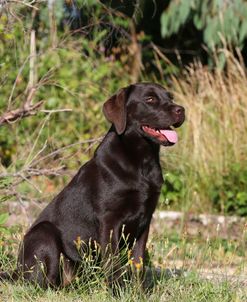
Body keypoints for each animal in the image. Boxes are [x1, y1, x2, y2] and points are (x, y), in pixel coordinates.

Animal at [0, 82, 185, 288]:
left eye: (170, 97)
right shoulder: (109, 220)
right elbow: (113, 262)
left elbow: (138, 263)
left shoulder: (145, 219)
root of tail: (16, 272)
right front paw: (118, 291)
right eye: (150, 99)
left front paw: (138, 292)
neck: (142, 161)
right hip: (44, 233)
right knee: (42, 283)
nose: (181, 110)